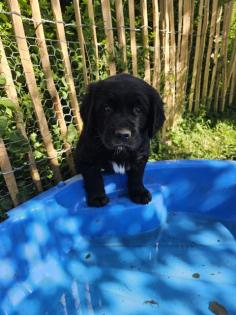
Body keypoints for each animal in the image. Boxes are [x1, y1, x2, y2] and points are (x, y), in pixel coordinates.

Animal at [75, 74, 164, 207]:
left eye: (138, 109)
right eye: (107, 108)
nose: (122, 135)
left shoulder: (141, 154)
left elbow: (137, 174)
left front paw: (139, 192)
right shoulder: (85, 157)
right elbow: (93, 176)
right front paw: (97, 197)